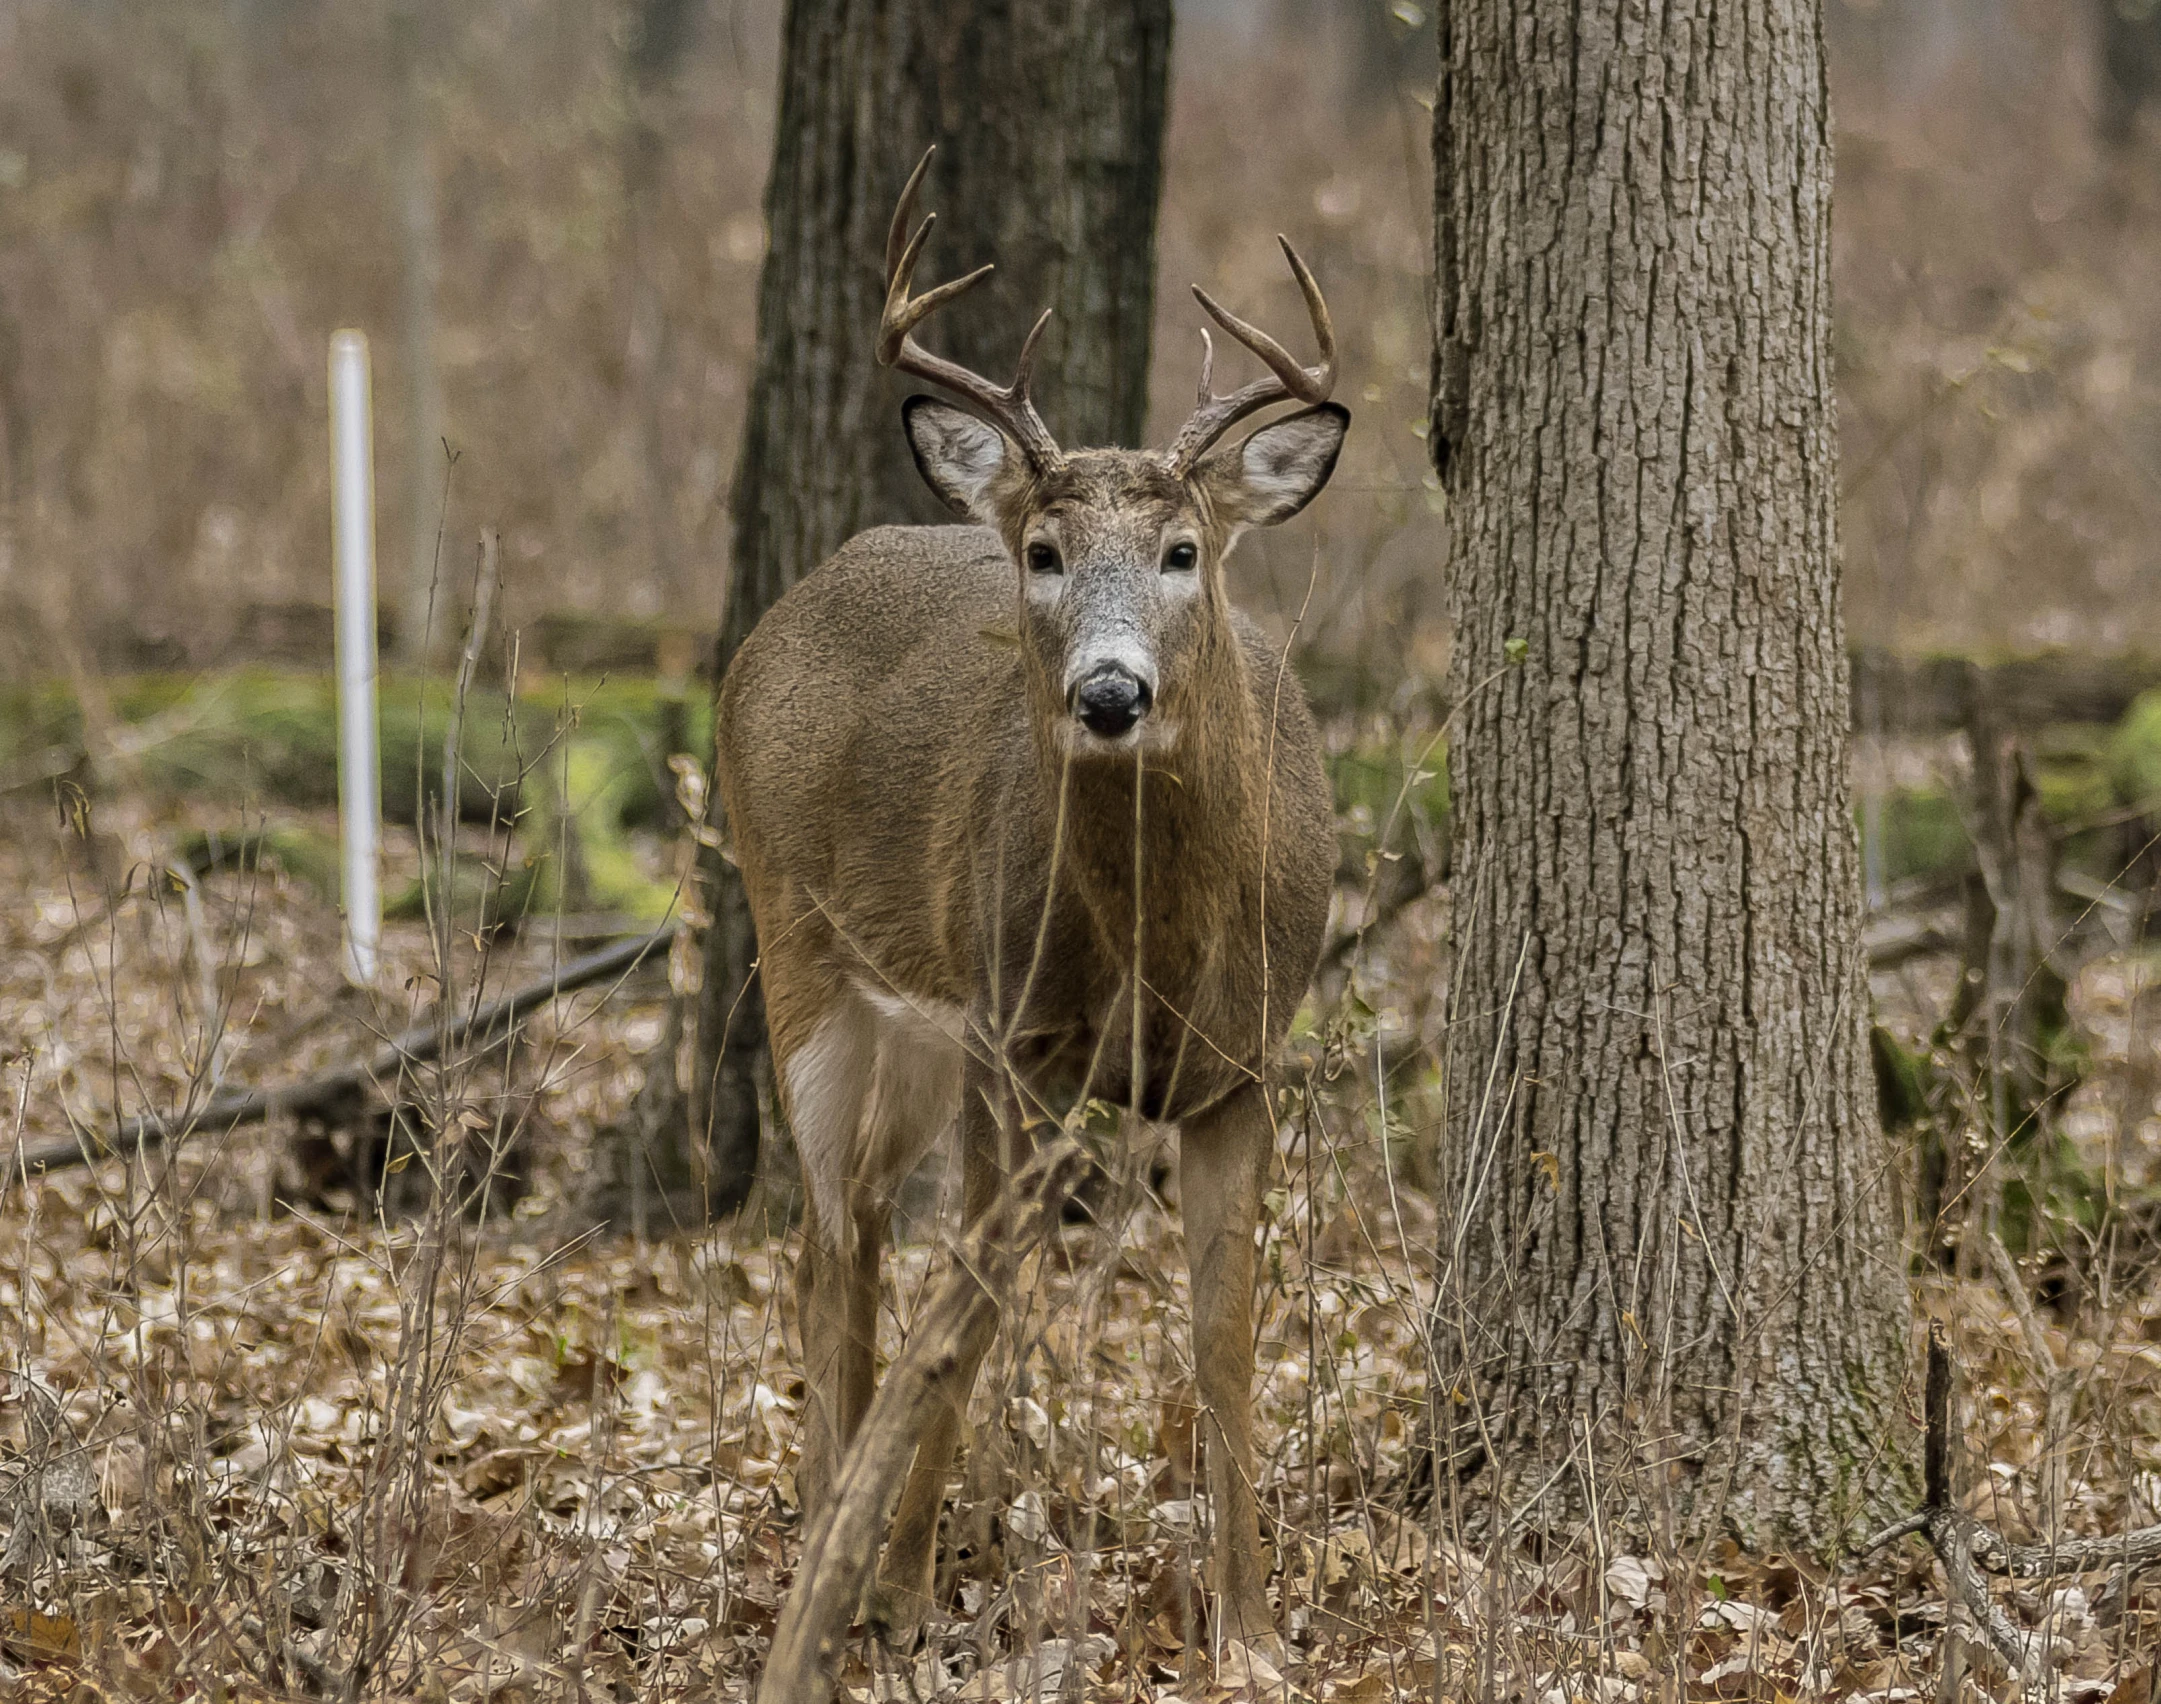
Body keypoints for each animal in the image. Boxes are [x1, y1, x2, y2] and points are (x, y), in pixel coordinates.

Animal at [717, 153, 1339, 1658]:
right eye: (1047, 550)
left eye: (1183, 549)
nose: (1110, 693)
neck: (1155, 946)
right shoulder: (1013, 1036)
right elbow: (978, 1309)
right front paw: (896, 1591)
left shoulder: (1239, 1066)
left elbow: (1223, 1345)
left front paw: (1247, 1626)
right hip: (802, 948)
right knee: (834, 1243)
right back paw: (834, 1539)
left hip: (917, 1034)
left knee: (866, 1228)